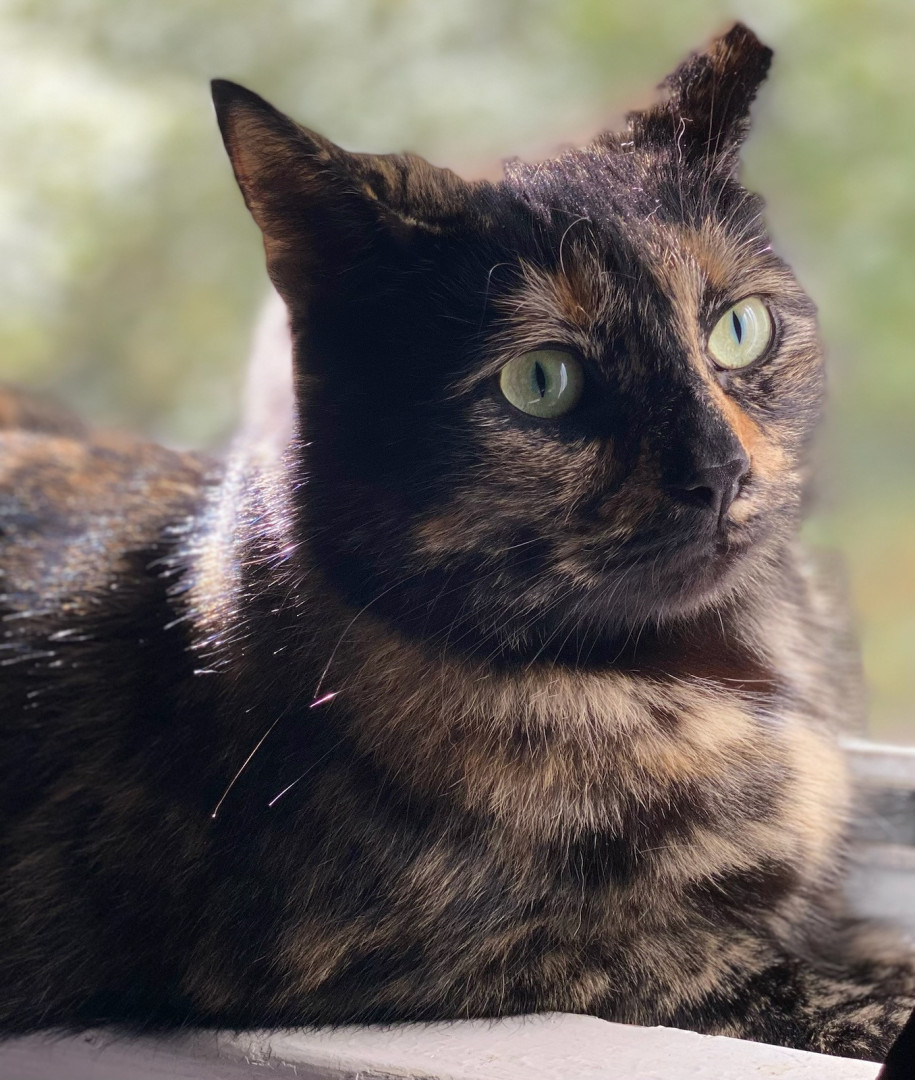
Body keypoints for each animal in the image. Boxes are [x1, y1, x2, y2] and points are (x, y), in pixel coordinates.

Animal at [1, 22, 913, 1062]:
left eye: (738, 329)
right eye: (542, 380)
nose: (718, 470)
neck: (722, 668)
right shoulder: (394, 954)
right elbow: (756, 972)